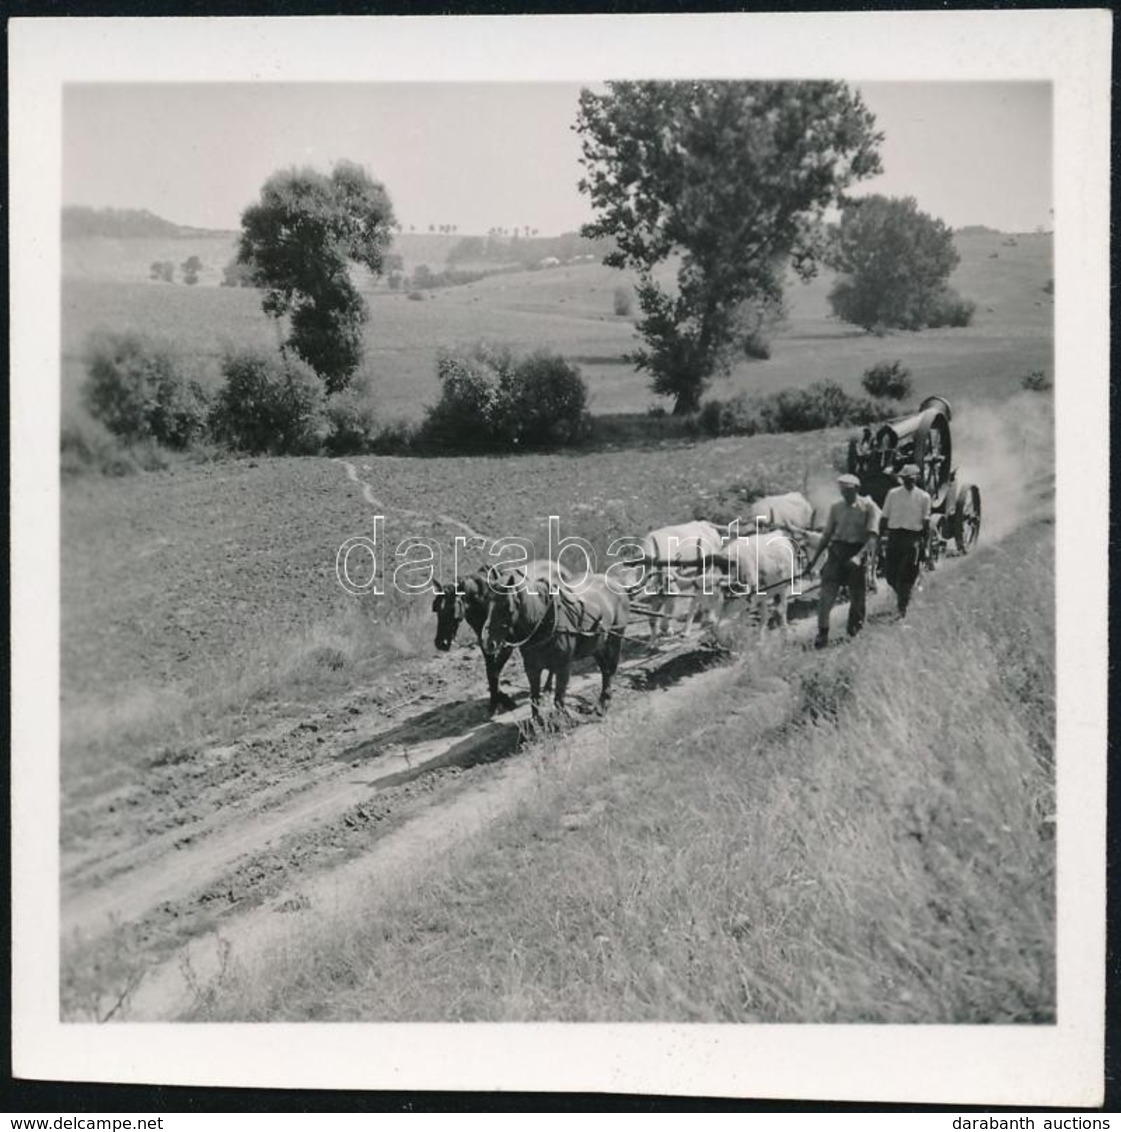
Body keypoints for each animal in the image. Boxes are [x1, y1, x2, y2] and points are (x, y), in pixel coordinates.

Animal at [430, 559, 570, 710]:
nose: (441, 643)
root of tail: (561, 568)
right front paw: (496, 700)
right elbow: (490, 670)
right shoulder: (486, 643)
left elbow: (495, 670)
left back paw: (548, 687)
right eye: (436, 609)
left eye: (452, 609)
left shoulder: (507, 644)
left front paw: (501, 700)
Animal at [477, 561, 629, 719]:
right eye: (485, 605)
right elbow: (534, 698)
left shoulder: (564, 667)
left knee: (609, 669)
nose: (488, 642)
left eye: (506, 606)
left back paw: (604, 703)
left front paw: (566, 719)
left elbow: (559, 699)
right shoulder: (531, 668)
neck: (543, 620)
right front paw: (537, 722)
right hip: (597, 645)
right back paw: (601, 704)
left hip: (615, 637)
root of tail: (614, 582)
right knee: (605, 670)